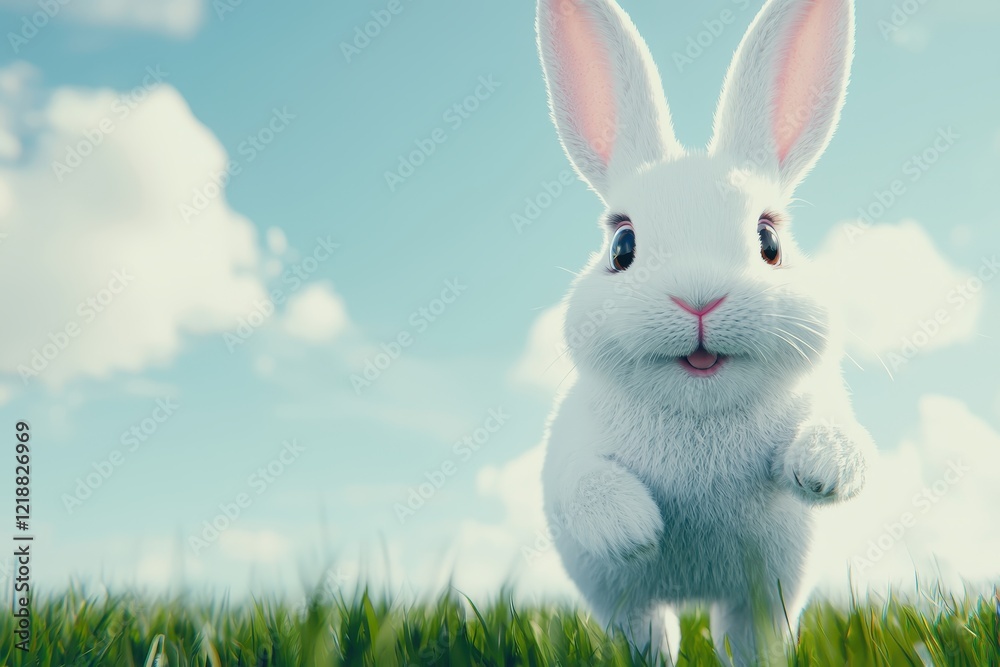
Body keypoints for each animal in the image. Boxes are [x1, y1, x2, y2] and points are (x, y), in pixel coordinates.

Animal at [535, 0, 875, 663]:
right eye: (621, 247)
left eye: (770, 242)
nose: (699, 299)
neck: (699, 409)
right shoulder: (570, 455)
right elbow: (583, 481)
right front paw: (635, 528)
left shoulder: (825, 407)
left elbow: (847, 441)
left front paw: (819, 470)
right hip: (629, 609)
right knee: (648, 635)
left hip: (763, 603)